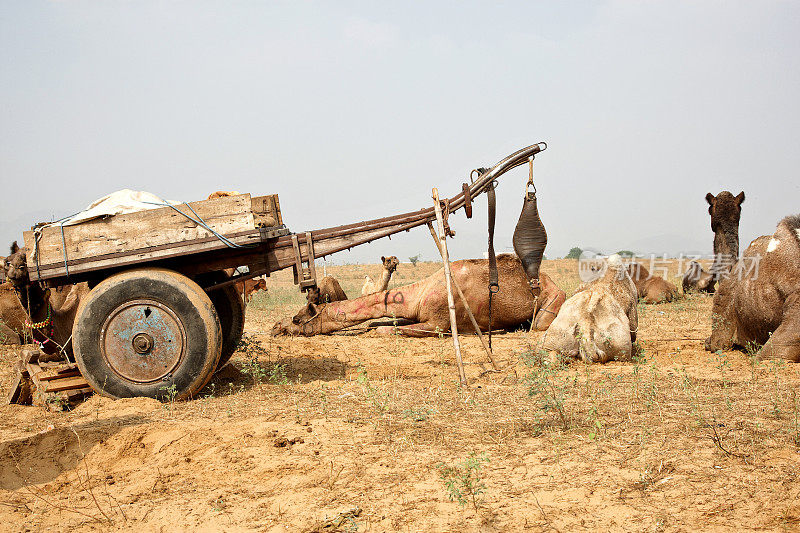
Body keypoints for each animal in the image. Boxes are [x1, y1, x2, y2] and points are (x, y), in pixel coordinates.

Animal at [272, 254, 564, 336]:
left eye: (296, 319)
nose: (276, 326)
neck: (420, 293)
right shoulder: (413, 314)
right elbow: (380, 323)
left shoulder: (438, 323)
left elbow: (384, 330)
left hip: (553, 299)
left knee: (539, 324)